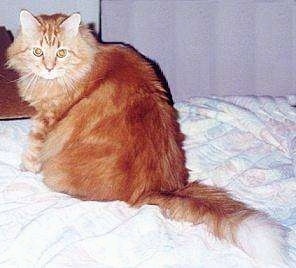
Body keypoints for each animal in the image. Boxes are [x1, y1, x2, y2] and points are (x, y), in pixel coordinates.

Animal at [6, 9, 288, 266]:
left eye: (61, 53)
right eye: (38, 52)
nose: (49, 68)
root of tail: (158, 188)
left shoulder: (47, 119)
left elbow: (33, 149)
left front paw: (24, 169)